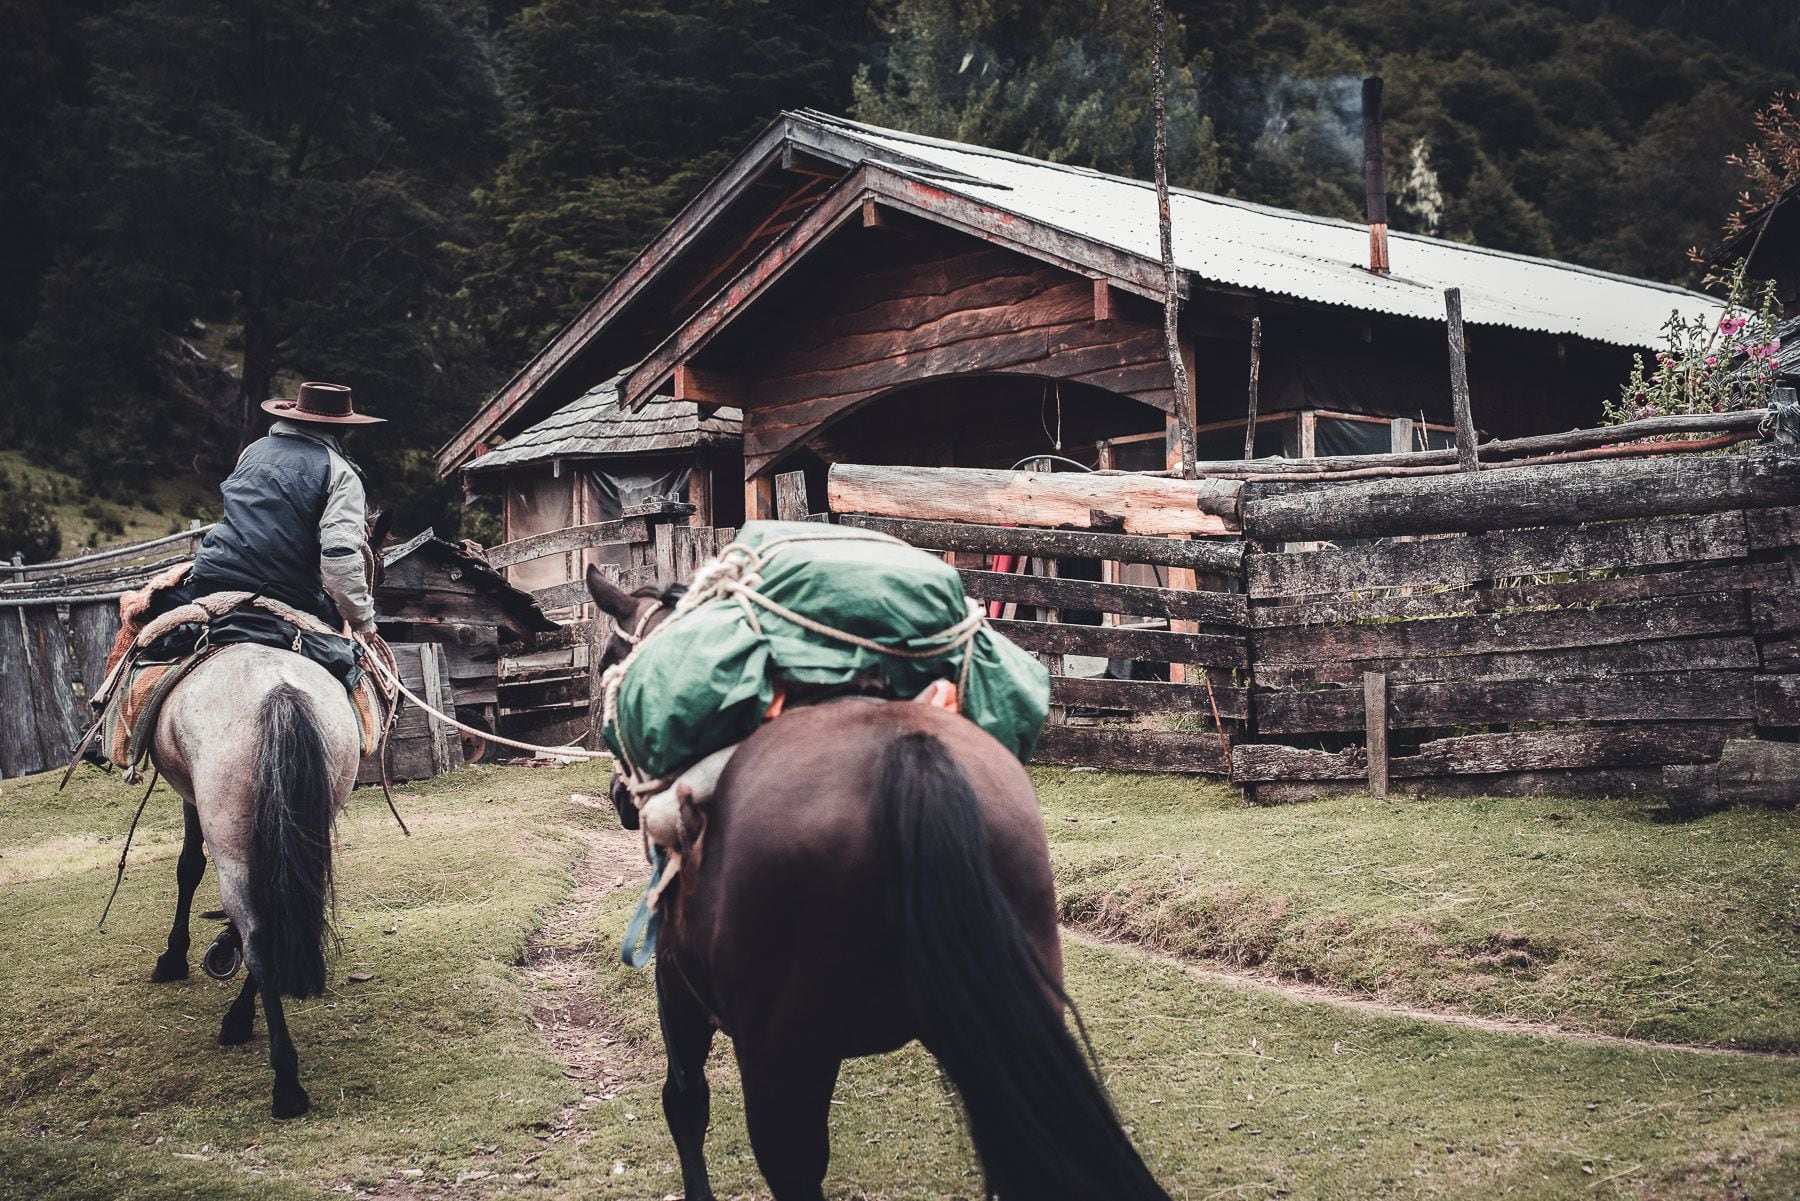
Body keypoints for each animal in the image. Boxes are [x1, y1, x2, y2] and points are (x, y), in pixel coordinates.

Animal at [583, 572, 1166, 1201]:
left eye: (608, 661)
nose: (618, 795)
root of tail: (911, 755)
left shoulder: (677, 984)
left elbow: (684, 1102)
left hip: (780, 1055)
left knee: (790, 1164)